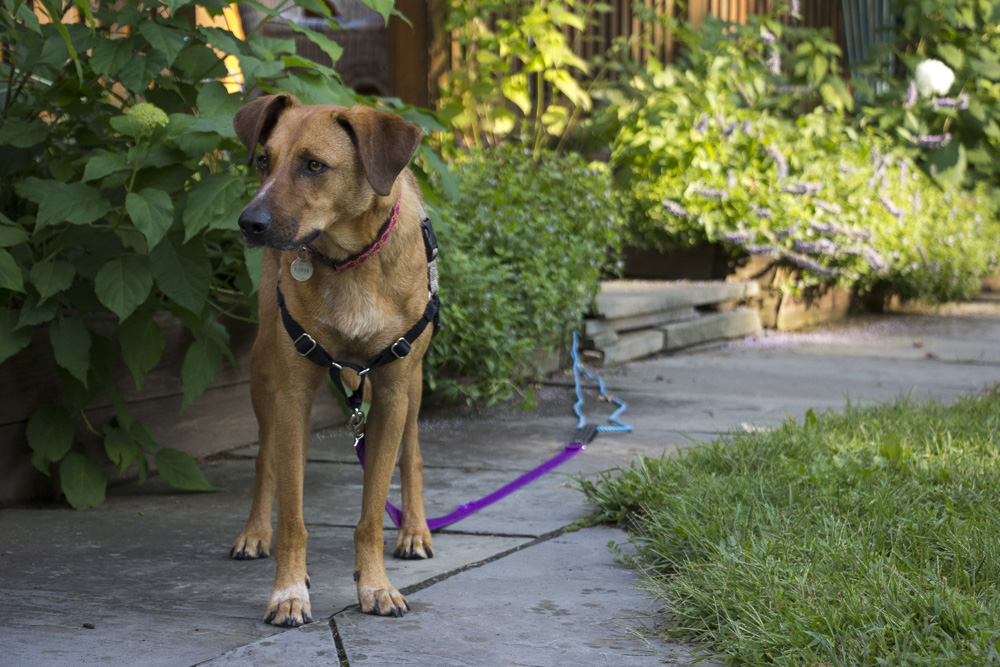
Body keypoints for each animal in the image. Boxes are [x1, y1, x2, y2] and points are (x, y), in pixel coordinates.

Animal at [232, 92, 440, 628]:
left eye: (314, 165)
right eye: (263, 161)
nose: (249, 224)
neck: (350, 262)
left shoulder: (391, 391)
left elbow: (371, 510)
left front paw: (375, 585)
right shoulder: (292, 393)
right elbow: (293, 514)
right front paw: (288, 591)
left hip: (415, 384)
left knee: (413, 453)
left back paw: (415, 530)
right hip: (262, 368)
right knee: (265, 458)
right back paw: (255, 531)